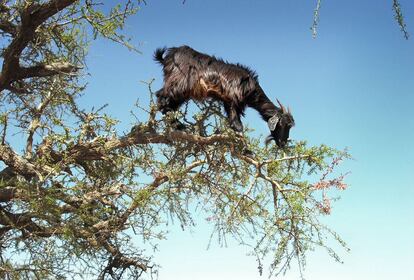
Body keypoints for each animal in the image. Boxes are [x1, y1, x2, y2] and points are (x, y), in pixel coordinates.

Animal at [153, 44, 294, 148]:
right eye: (283, 125)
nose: (283, 143)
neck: (251, 88)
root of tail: (169, 56)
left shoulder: (229, 102)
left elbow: (234, 123)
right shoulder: (233, 100)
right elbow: (238, 126)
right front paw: (246, 150)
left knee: (171, 104)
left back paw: (177, 125)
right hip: (179, 83)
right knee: (161, 97)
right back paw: (177, 124)